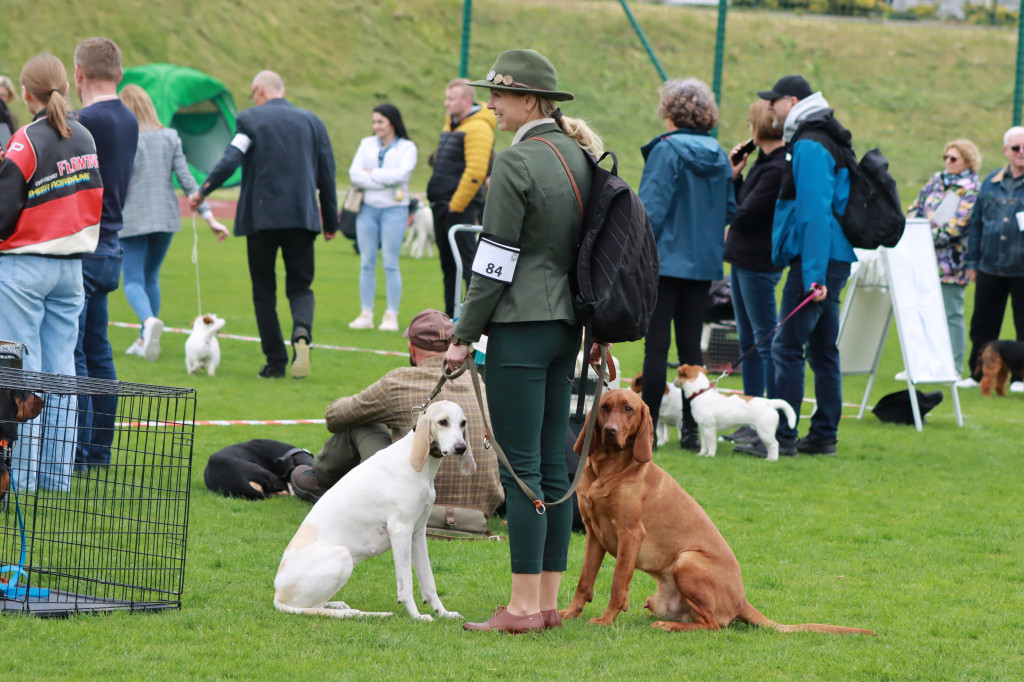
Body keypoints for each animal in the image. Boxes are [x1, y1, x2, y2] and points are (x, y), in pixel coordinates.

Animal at [274, 399, 477, 614]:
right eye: (442, 422)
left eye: (463, 423)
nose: (461, 447)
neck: (417, 463)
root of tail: (278, 596)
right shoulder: (400, 531)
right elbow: (406, 585)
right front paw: (416, 616)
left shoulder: (418, 533)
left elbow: (428, 581)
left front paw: (442, 613)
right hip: (342, 556)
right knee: (311, 608)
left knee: (318, 606)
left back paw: (339, 606)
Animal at [561, 385, 872, 634]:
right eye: (604, 407)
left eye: (628, 409)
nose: (611, 432)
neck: (608, 470)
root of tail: (742, 600)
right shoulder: (594, 534)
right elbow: (584, 580)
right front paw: (568, 613)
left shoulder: (630, 535)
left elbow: (617, 585)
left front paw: (605, 620)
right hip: (660, 596)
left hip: (686, 559)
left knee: (713, 625)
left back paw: (667, 626)